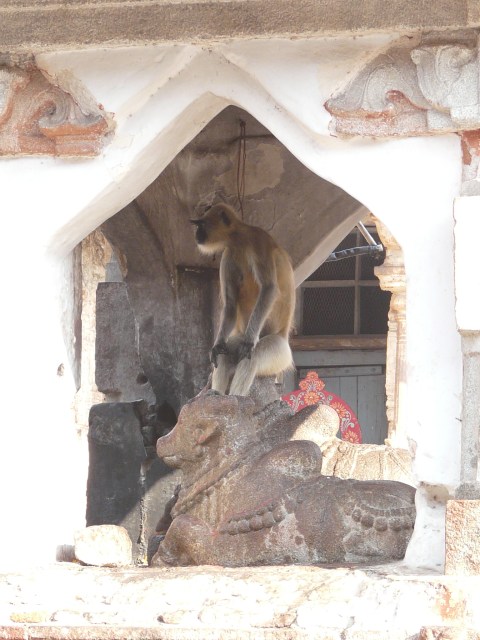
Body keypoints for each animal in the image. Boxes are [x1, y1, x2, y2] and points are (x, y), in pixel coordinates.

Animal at [190, 203, 295, 396]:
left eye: (202, 225)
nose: (197, 234)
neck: (239, 238)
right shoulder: (228, 254)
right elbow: (231, 304)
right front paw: (217, 345)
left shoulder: (258, 240)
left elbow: (269, 288)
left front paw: (250, 341)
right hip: (241, 333)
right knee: (225, 354)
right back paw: (218, 393)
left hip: (280, 351)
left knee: (254, 355)